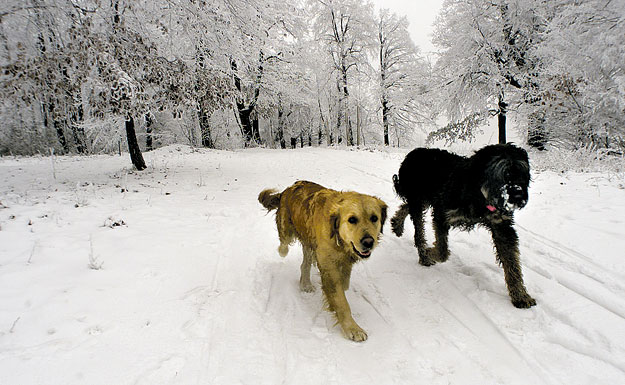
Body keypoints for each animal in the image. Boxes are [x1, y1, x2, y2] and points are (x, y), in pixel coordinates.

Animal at [392, 142, 532, 308]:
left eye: (523, 174)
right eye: (504, 173)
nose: (518, 196)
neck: (478, 195)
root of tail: (413, 153)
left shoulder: (501, 227)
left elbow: (512, 263)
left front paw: (520, 295)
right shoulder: (442, 214)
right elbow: (442, 251)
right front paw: (429, 251)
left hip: (422, 199)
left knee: (406, 206)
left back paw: (396, 224)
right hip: (418, 200)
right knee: (418, 232)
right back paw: (423, 255)